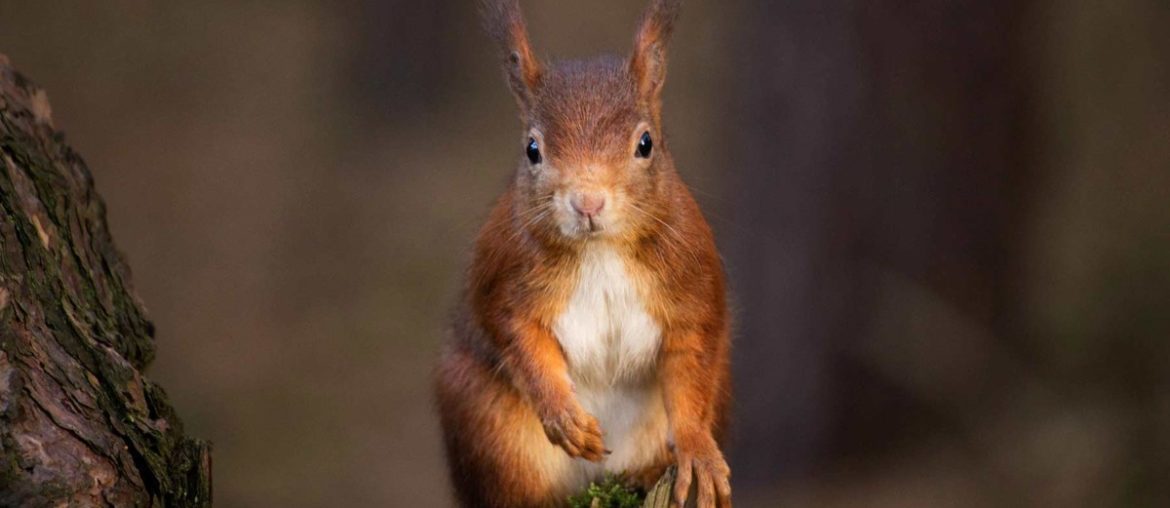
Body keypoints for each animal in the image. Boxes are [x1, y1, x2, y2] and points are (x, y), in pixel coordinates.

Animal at [435, 1, 732, 506]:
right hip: (485, 420)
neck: (600, 252)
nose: (587, 202)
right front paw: (563, 416)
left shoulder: (691, 283)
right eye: (532, 149)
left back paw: (646, 472)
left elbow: (690, 367)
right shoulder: (504, 276)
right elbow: (518, 338)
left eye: (646, 143)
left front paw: (698, 451)